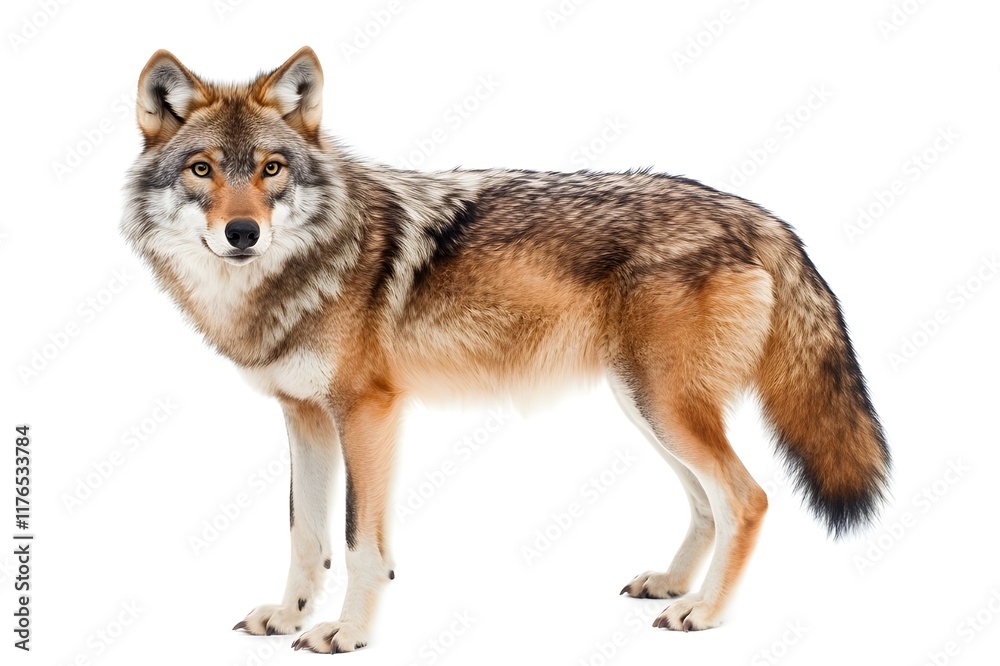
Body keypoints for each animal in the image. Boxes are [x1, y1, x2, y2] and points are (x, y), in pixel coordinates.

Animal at [121, 47, 889, 653]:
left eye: (272, 169)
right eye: (202, 170)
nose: (242, 233)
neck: (301, 272)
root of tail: (759, 214)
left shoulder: (368, 413)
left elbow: (360, 543)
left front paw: (349, 633)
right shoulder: (305, 417)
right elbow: (305, 537)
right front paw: (288, 617)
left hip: (664, 406)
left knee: (748, 499)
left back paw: (704, 614)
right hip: (647, 406)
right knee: (708, 504)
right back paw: (673, 585)